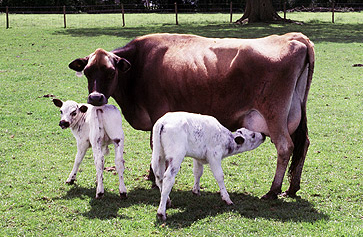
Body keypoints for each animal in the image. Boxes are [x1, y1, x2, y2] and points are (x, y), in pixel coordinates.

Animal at [69, 32, 314, 200]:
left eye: (111, 72)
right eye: (88, 72)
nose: (96, 97)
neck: (139, 65)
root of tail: (294, 37)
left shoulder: (159, 113)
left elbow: (155, 146)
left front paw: (153, 176)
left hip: (274, 116)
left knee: (285, 147)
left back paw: (273, 190)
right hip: (294, 114)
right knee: (303, 144)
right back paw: (293, 188)